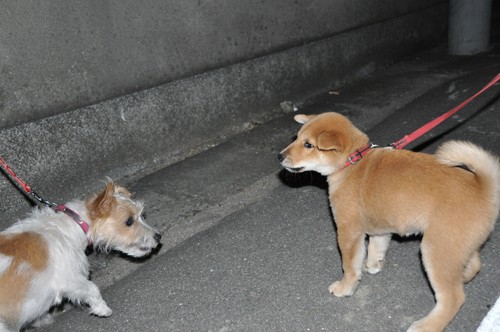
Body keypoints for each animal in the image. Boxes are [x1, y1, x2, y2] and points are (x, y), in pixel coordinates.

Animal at [0, 182, 161, 332]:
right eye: (129, 221)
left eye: (141, 216)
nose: (158, 237)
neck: (73, 226)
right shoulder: (69, 279)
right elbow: (92, 289)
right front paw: (102, 309)